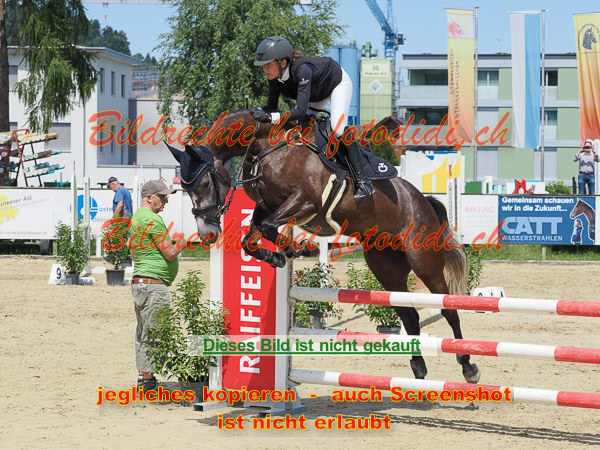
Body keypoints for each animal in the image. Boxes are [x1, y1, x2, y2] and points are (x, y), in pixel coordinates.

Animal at [166, 109, 480, 383]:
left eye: (205, 183)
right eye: (185, 190)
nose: (207, 233)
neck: (267, 147)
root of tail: (422, 199)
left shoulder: (304, 202)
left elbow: (267, 228)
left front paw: (295, 249)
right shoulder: (268, 206)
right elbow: (252, 238)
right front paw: (281, 254)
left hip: (423, 260)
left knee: (448, 309)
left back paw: (468, 366)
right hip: (385, 267)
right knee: (410, 315)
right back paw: (418, 366)